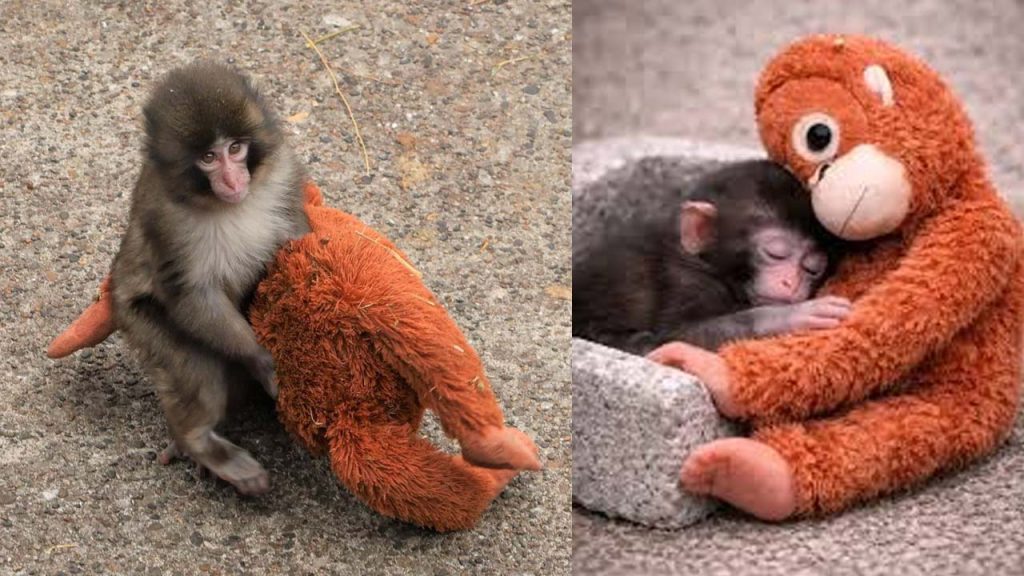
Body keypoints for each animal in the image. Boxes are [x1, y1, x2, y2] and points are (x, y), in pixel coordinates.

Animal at [109, 61, 310, 495]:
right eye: (207, 157)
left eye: (235, 149)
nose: (233, 181)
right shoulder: (165, 218)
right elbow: (190, 295)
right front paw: (262, 359)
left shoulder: (283, 173)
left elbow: (298, 240)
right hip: (137, 320)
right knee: (198, 371)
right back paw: (199, 443)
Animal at [572, 160, 850, 355]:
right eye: (775, 253)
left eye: (813, 268)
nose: (790, 282)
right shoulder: (685, 280)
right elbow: (677, 337)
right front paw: (791, 316)